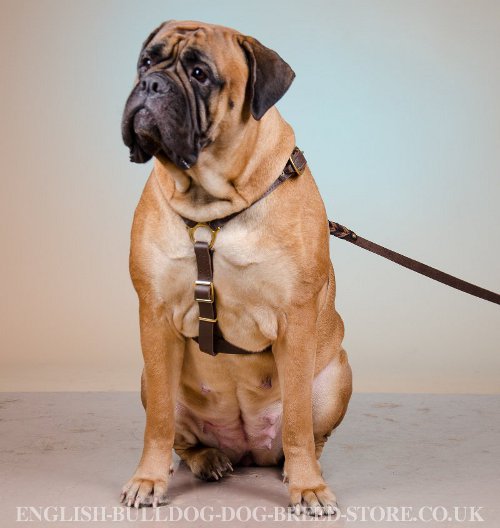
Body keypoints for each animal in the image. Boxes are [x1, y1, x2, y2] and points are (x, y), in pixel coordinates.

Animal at [118, 20, 352, 516]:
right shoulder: (154, 316)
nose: (151, 85)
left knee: (309, 436)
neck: (211, 207)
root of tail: (246, 449)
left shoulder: (295, 319)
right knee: (183, 438)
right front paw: (148, 478)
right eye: (146, 62)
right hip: (149, 377)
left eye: (201, 74)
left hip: (337, 375)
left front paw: (308, 487)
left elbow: (298, 423)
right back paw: (205, 459)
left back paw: (295, 470)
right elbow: (159, 422)